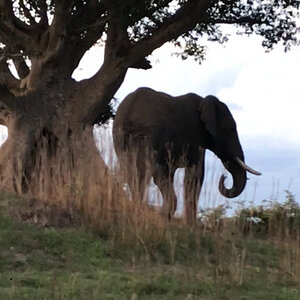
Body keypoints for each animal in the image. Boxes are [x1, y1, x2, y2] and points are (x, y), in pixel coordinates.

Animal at [112, 86, 260, 223]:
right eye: (230, 129)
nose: (224, 177)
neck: (204, 101)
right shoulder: (195, 137)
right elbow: (196, 175)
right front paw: (191, 225)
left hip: (123, 141)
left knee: (134, 174)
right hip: (147, 138)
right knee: (153, 173)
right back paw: (160, 213)